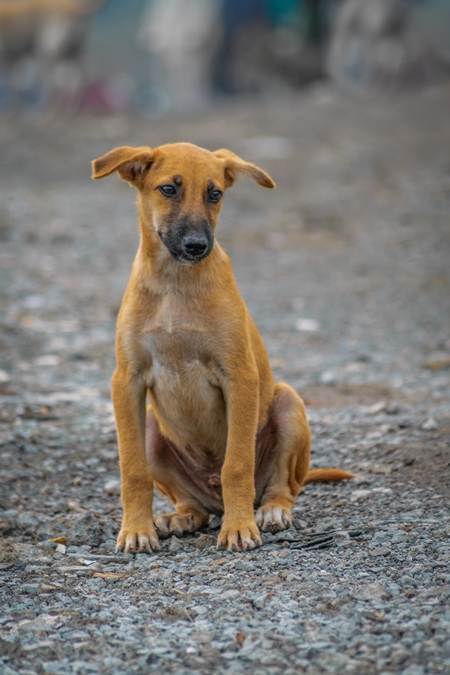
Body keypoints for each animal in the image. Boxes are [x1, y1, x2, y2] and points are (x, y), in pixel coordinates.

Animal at [91, 143, 354, 556]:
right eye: (168, 189)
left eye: (214, 194)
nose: (197, 246)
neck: (175, 283)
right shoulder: (126, 380)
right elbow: (133, 470)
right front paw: (135, 530)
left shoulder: (239, 377)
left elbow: (236, 464)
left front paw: (239, 527)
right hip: (152, 428)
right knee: (192, 503)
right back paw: (180, 517)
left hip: (288, 404)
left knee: (282, 487)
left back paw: (270, 512)